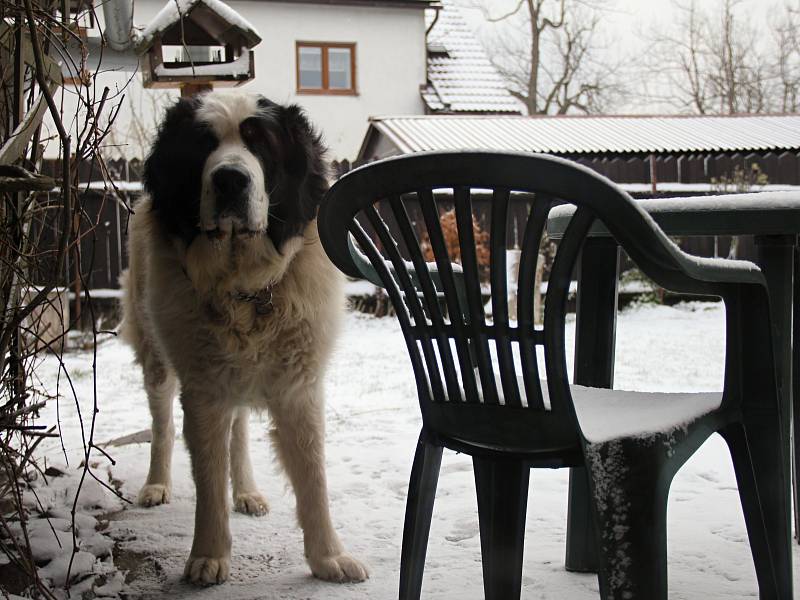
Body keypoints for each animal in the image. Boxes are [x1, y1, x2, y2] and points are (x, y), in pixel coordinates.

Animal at [120, 92, 370, 584]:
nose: (231, 179)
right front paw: (209, 555)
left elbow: (313, 477)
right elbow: (208, 478)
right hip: (157, 357)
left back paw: (248, 492)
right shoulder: (203, 390)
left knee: (237, 430)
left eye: (261, 145)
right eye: (203, 144)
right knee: (162, 424)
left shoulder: (298, 387)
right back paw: (157, 484)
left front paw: (328, 557)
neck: (245, 289)